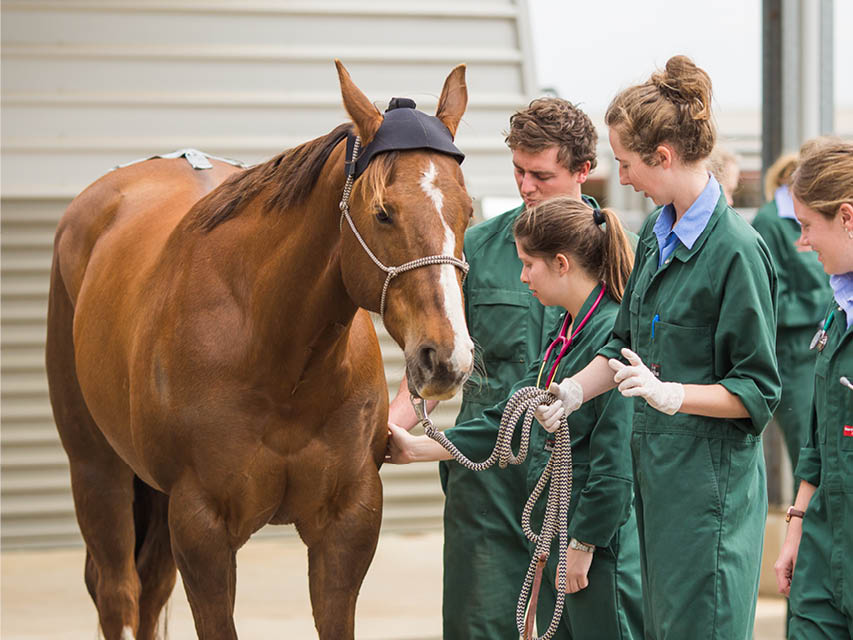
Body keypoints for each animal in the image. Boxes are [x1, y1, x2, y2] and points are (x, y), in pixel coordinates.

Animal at [46, 61, 476, 640]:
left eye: (467, 211)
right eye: (383, 212)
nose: (447, 357)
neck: (279, 364)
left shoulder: (348, 524)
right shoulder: (201, 529)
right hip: (97, 470)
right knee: (119, 593)